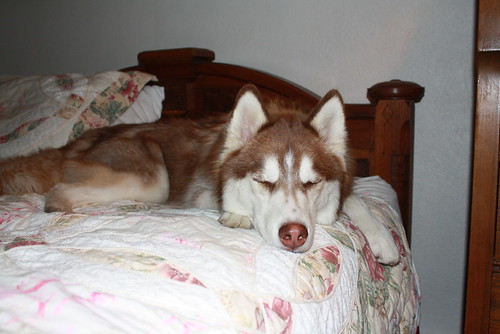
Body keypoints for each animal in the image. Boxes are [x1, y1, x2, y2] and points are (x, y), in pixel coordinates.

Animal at [0, 85, 398, 264]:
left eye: (311, 183)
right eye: (263, 181)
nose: (294, 235)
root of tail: (79, 140)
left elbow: (356, 199)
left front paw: (382, 240)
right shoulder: (200, 191)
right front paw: (236, 215)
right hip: (154, 180)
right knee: (59, 194)